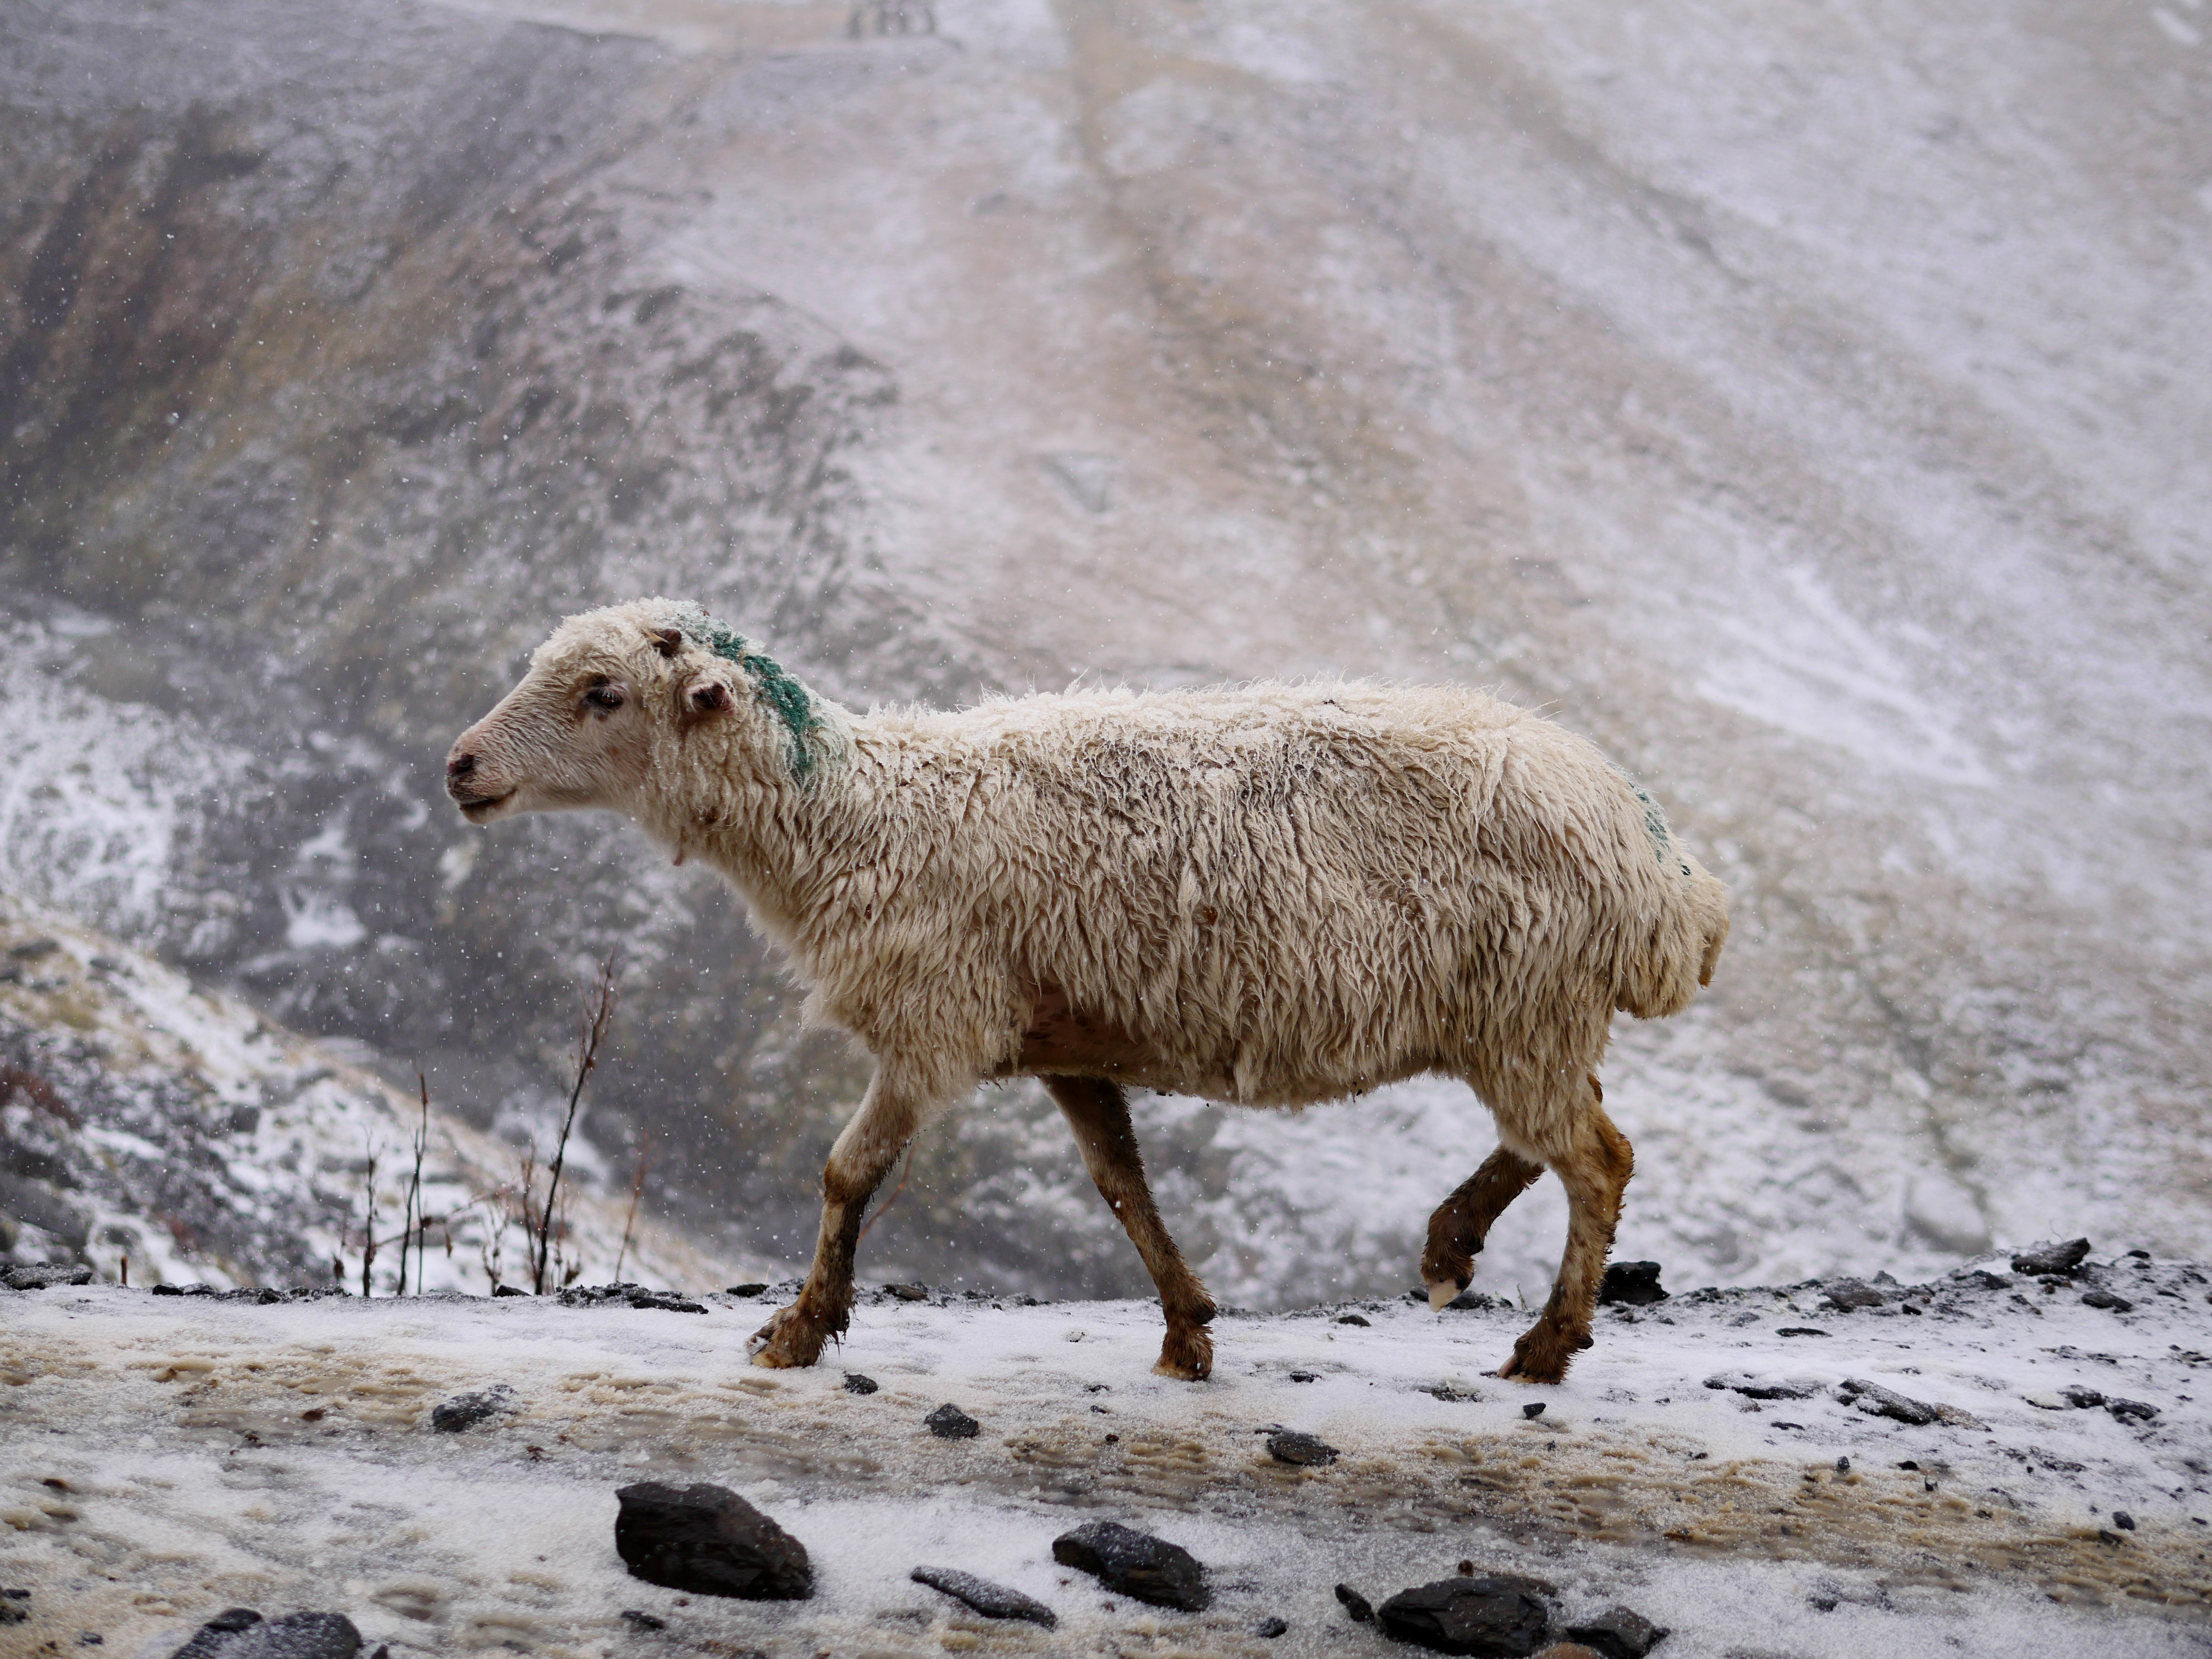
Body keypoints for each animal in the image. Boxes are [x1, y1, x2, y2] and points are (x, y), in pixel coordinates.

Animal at [444, 606, 1725, 1380]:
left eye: (601, 692)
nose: (460, 765)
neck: (864, 816)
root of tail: (1656, 861)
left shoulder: (937, 1026)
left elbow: (848, 1173)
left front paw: (800, 1329)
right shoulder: (1064, 1040)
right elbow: (1120, 1185)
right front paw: (1188, 1332)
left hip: (1524, 1007)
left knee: (1596, 1157)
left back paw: (1547, 1342)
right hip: (1526, 1017)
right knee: (1567, 1135)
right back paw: (1453, 1243)